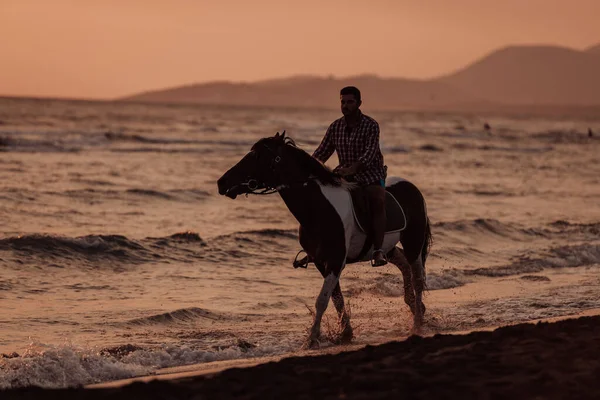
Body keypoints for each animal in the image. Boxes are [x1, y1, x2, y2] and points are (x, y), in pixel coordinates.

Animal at [216, 133, 432, 348]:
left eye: (257, 156)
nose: (222, 182)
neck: (319, 209)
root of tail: (412, 187)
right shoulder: (321, 262)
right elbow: (336, 298)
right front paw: (345, 333)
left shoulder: (335, 262)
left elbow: (322, 299)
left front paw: (312, 338)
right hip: (388, 248)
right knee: (403, 264)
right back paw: (414, 306)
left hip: (413, 242)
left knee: (417, 277)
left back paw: (417, 323)